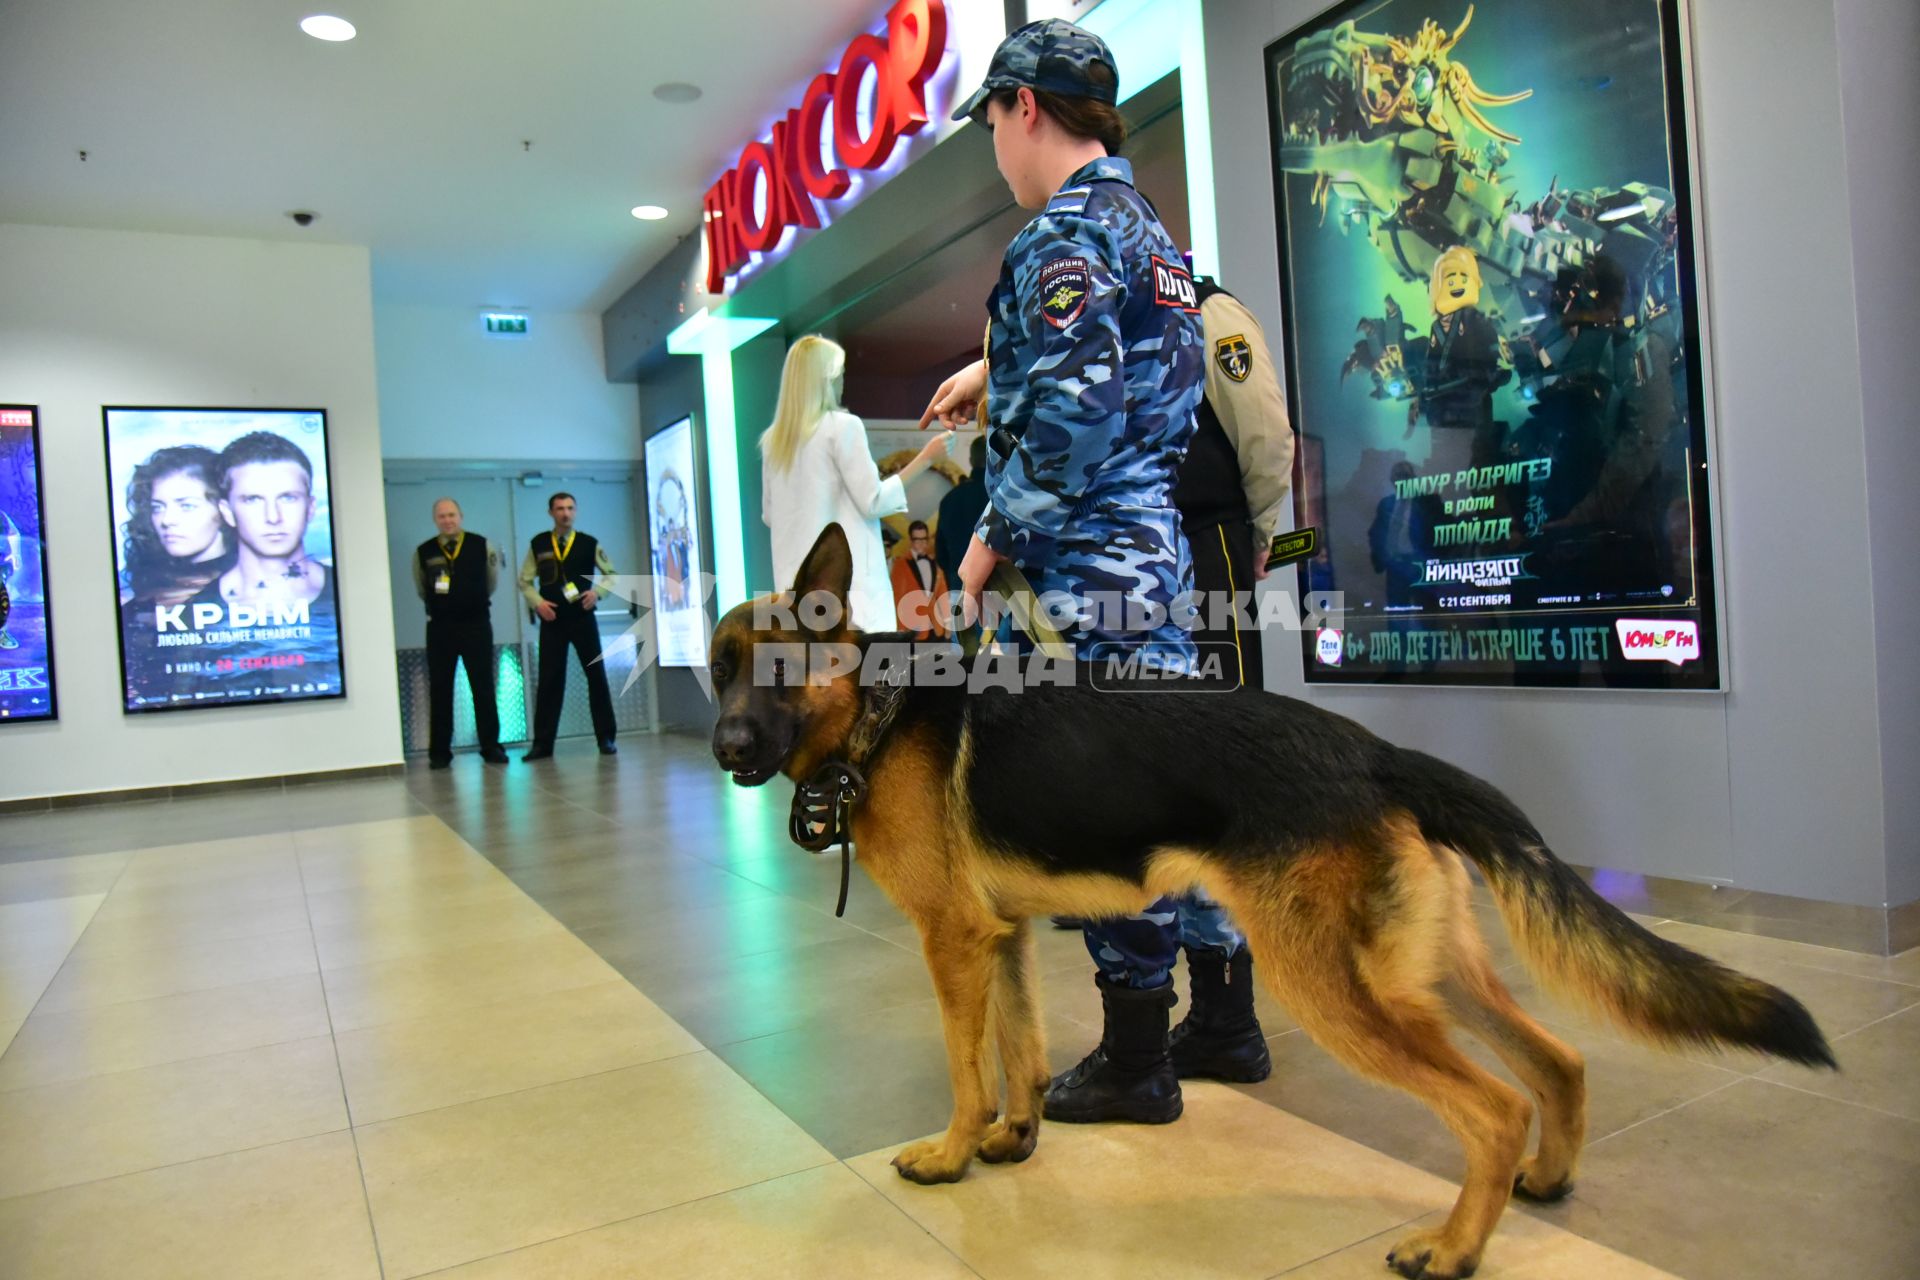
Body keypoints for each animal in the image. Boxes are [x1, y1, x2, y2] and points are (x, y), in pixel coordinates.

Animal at [706, 525, 1827, 1274]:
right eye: (714, 675)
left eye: (777, 671)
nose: (723, 747)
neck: (879, 709)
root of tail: (1376, 754)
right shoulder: (1003, 935)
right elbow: (1019, 1052)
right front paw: (1013, 1141)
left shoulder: (953, 944)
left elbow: (966, 1066)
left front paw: (949, 1152)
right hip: (1421, 975)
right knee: (1556, 1058)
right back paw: (1547, 1180)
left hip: (1333, 987)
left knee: (1495, 1104)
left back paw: (1455, 1244)